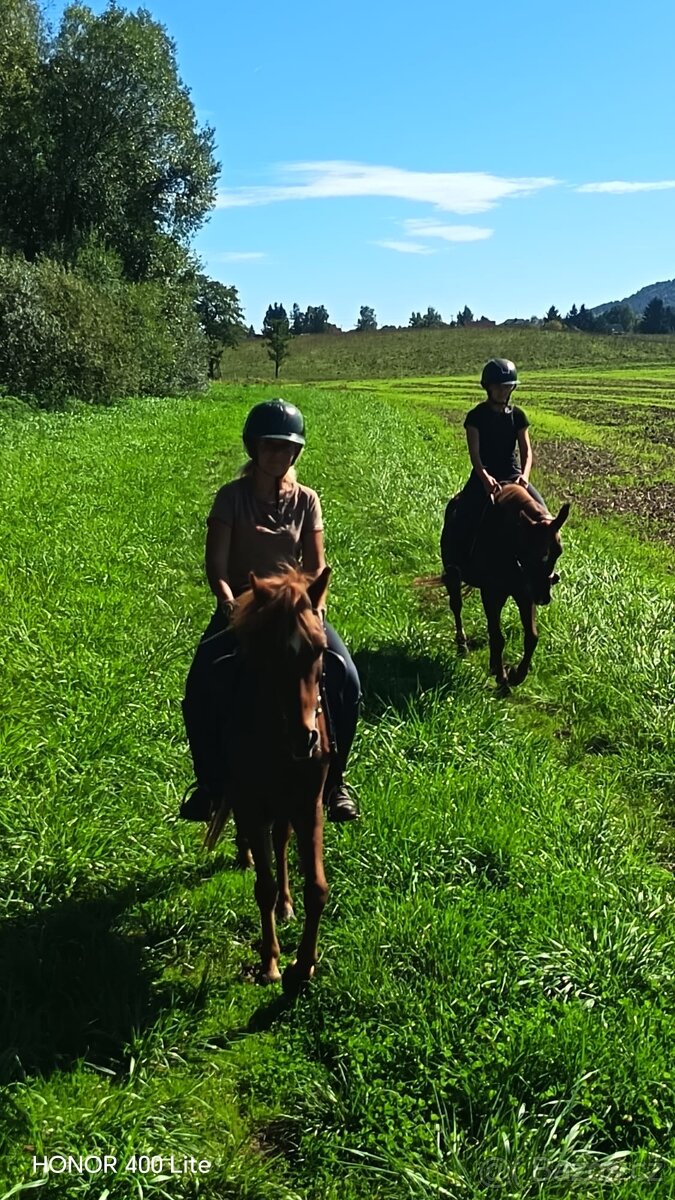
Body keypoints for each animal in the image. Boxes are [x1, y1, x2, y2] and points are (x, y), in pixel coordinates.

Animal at [205, 566, 331, 994]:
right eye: (273, 654)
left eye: (319, 649)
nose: (306, 739)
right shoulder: (251, 802)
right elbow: (264, 886)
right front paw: (271, 962)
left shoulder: (308, 804)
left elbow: (316, 888)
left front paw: (304, 965)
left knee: (281, 842)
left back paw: (286, 905)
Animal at [440, 483, 570, 690]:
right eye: (533, 553)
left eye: (558, 551)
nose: (543, 597)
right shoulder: (490, 593)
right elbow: (498, 636)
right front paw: (503, 678)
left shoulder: (525, 595)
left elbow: (531, 637)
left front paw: (517, 675)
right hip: (454, 575)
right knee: (456, 606)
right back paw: (462, 646)